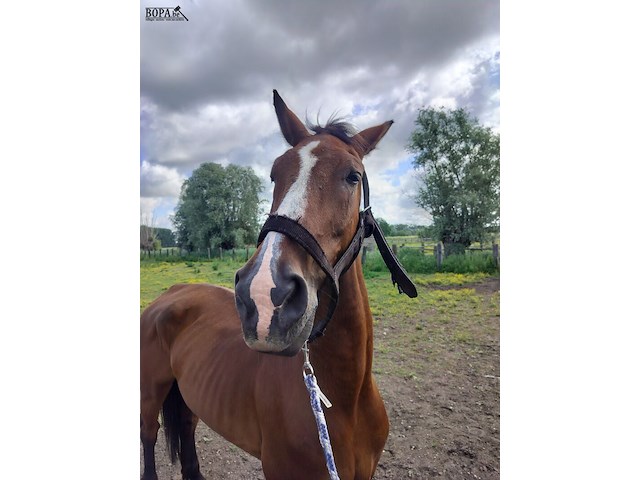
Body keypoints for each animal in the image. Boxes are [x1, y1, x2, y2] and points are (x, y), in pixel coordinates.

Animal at [140, 90, 417, 480]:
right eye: (274, 175)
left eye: (353, 176)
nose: (264, 295)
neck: (345, 402)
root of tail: (170, 293)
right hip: (151, 393)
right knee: (148, 434)